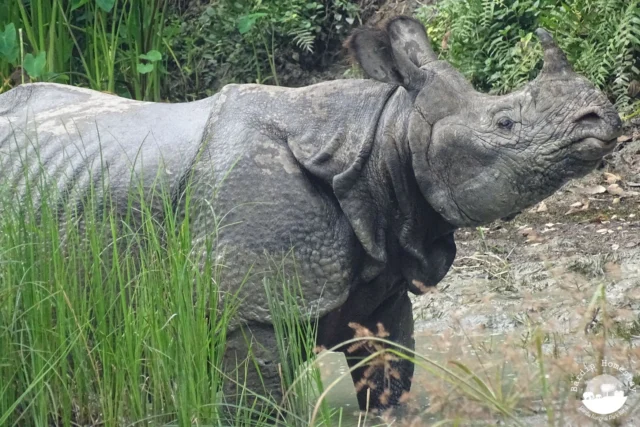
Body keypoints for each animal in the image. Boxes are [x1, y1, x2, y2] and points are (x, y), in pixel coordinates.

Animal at [0, 16, 622, 411]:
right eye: (505, 124)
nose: (601, 117)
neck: (385, 143)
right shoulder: (254, 304)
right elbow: (256, 402)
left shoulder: (382, 273)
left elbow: (389, 372)